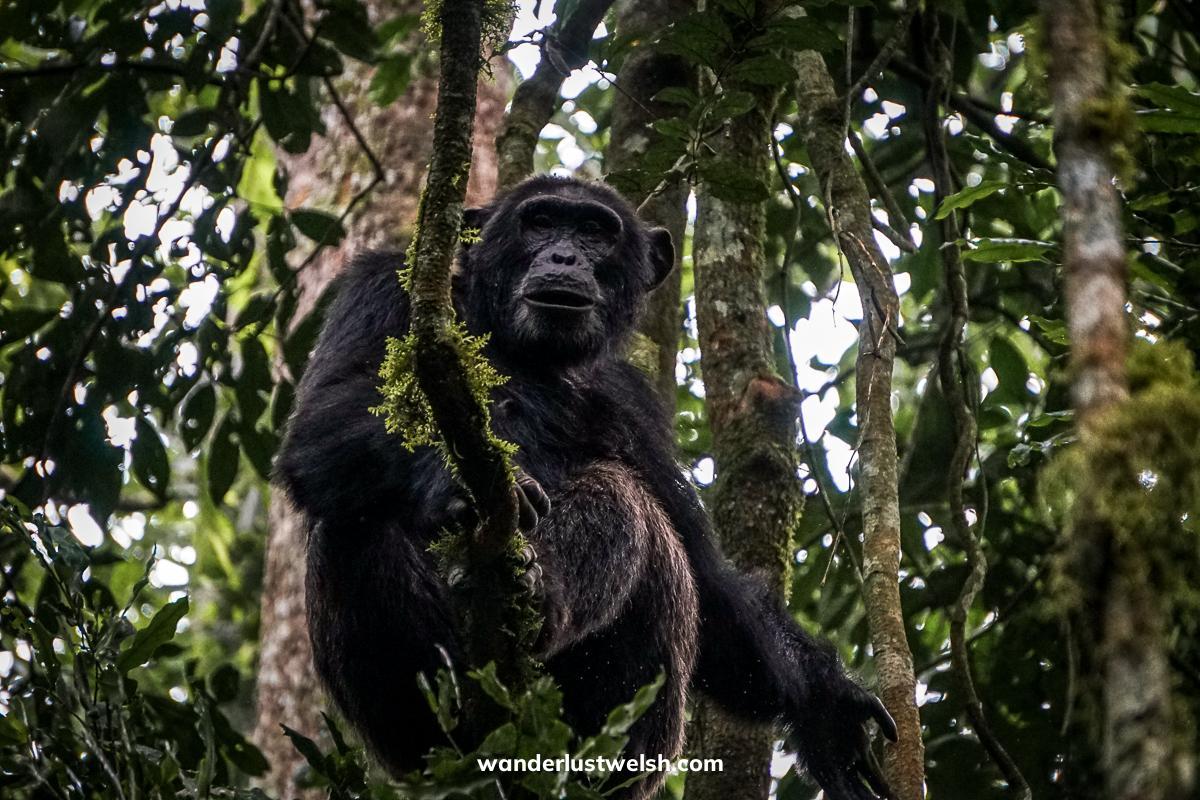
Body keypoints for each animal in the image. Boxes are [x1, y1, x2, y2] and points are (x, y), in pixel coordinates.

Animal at [275, 175, 897, 800]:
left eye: (595, 231)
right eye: (541, 222)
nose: (564, 256)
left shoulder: (636, 403)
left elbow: (711, 586)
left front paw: (827, 707)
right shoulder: (380, 289)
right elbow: (324, 417)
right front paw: (450, 481)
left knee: (631, 504)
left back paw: (535, 595)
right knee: (353, 517)